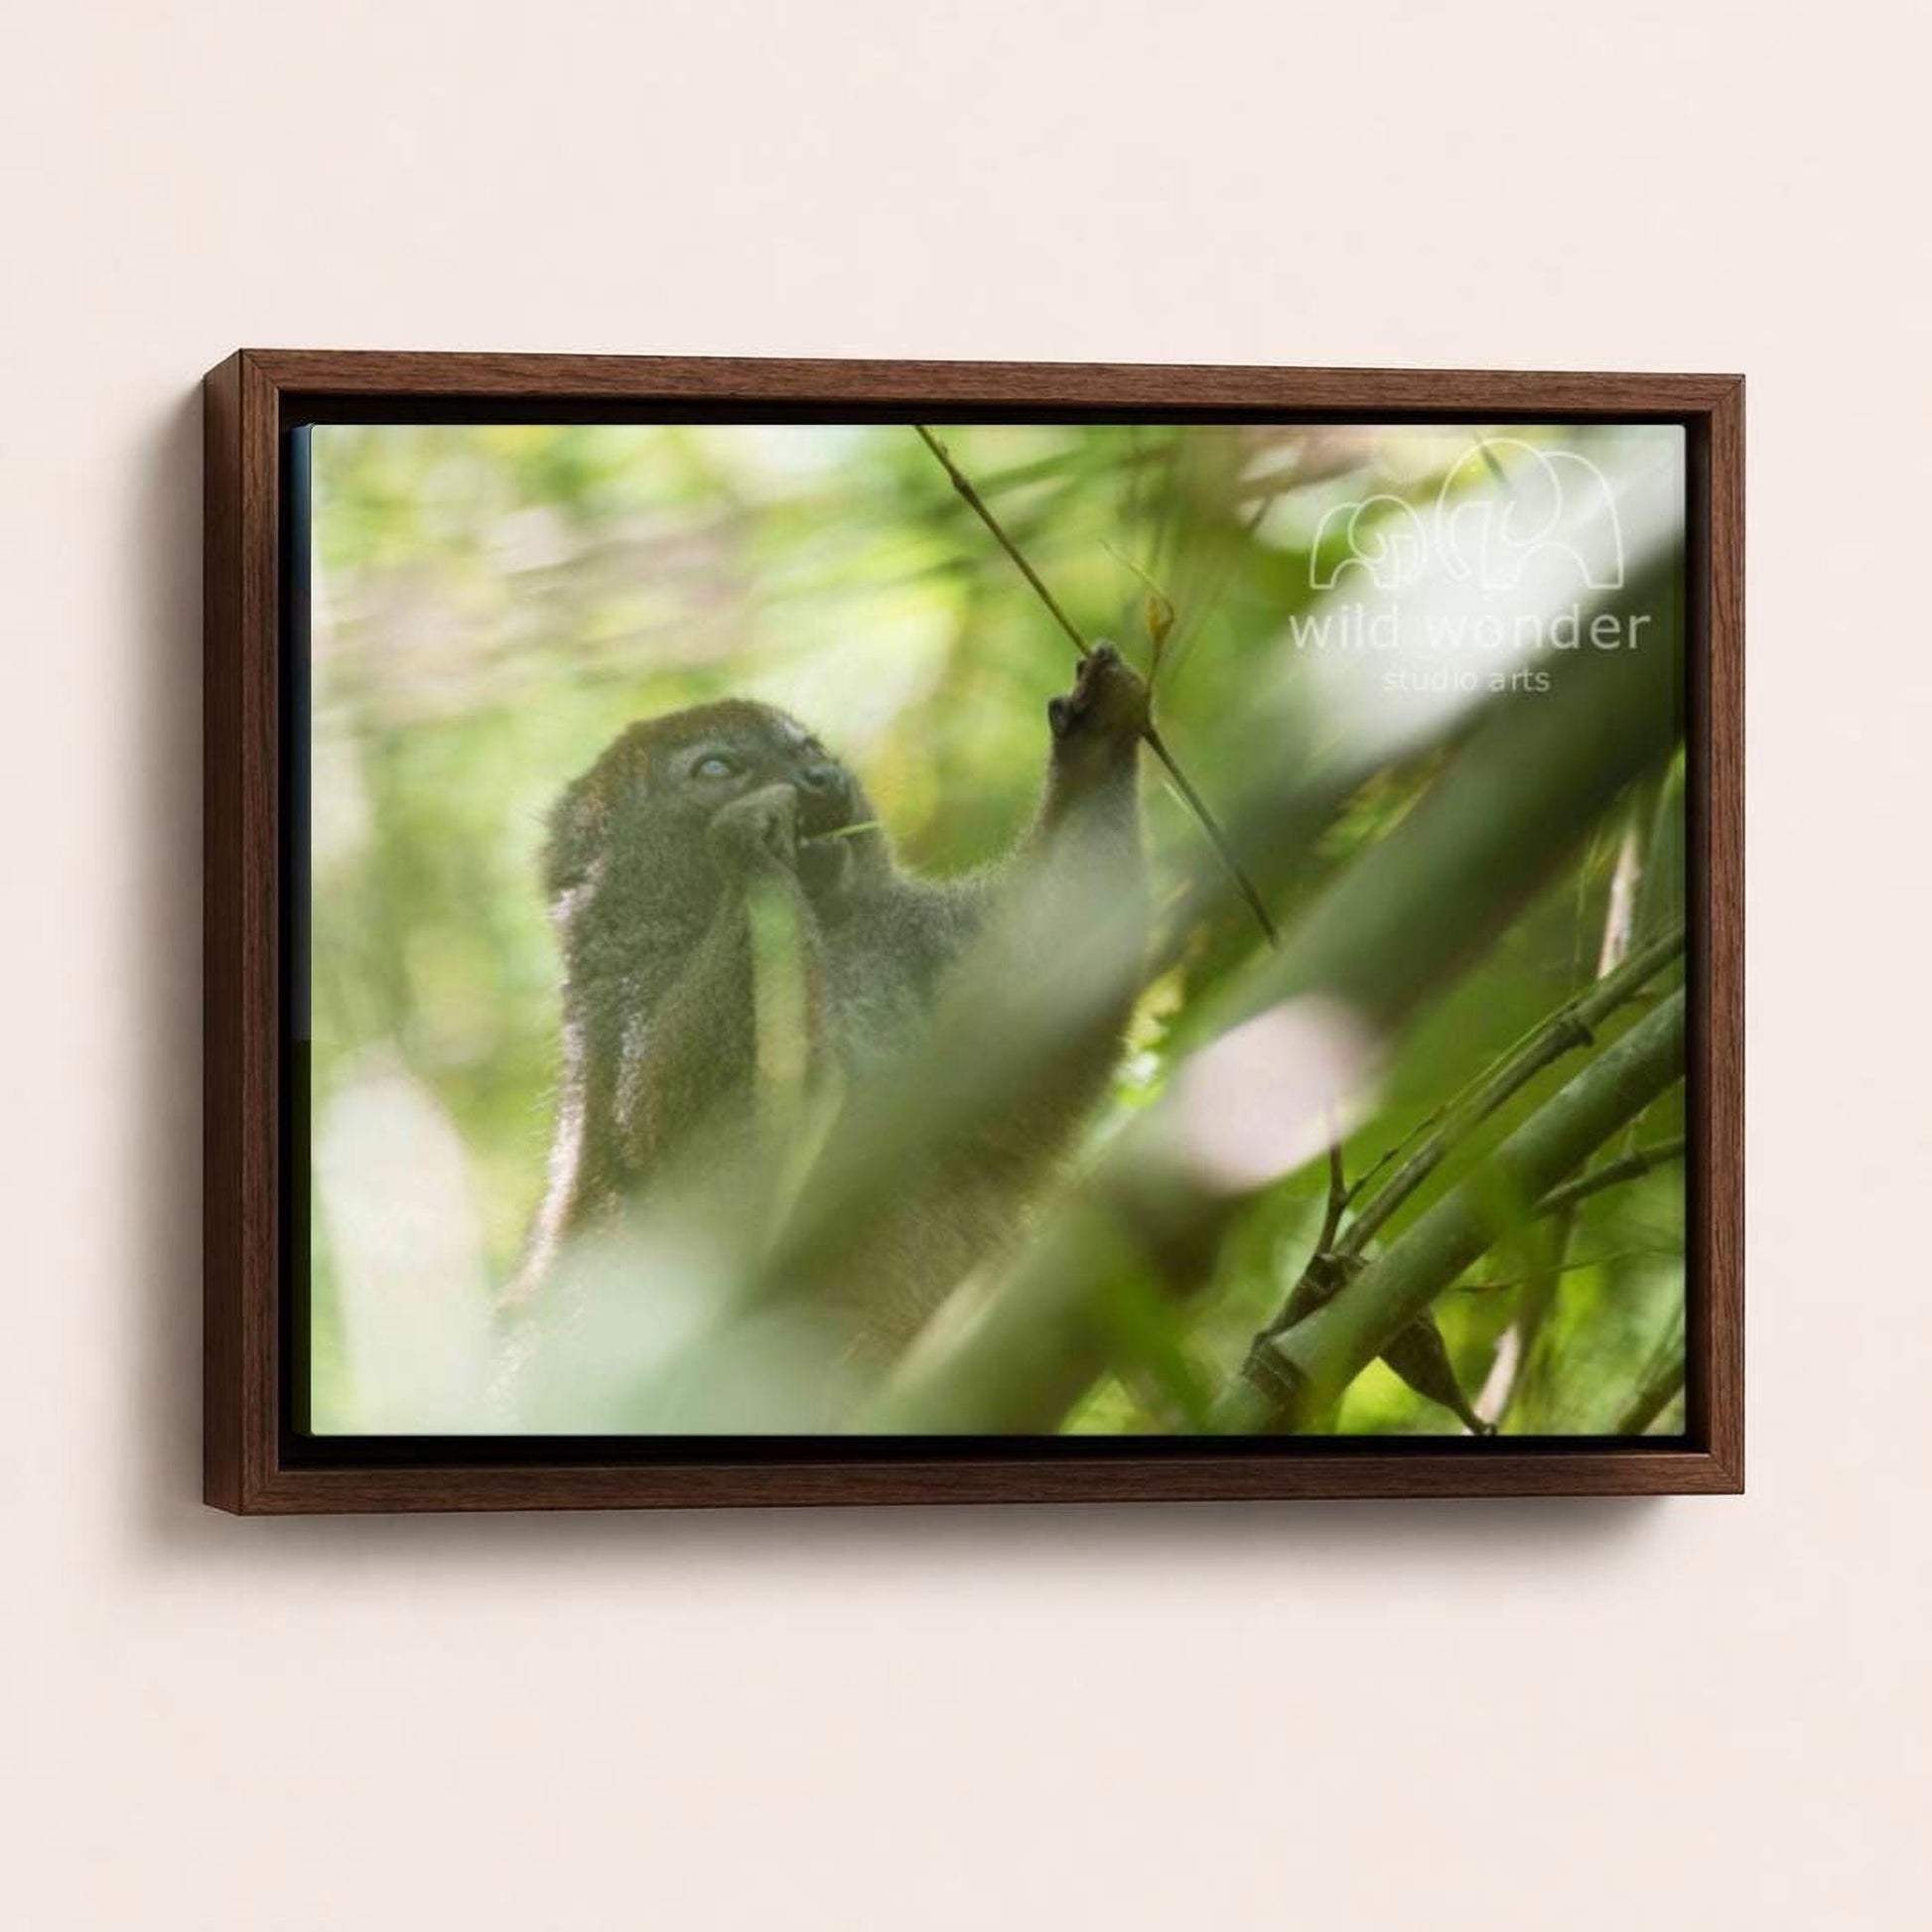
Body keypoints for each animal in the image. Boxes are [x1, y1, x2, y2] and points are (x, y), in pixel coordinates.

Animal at [508, 642, 1150, 1373]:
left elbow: (1051, 997)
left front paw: (1096, 741)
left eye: (807, 746)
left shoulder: (923, 941)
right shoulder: (618, 1022)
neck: (838, 932)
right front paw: (752, 852)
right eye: (717, 768)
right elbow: (687, 1181)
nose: (820, 776)